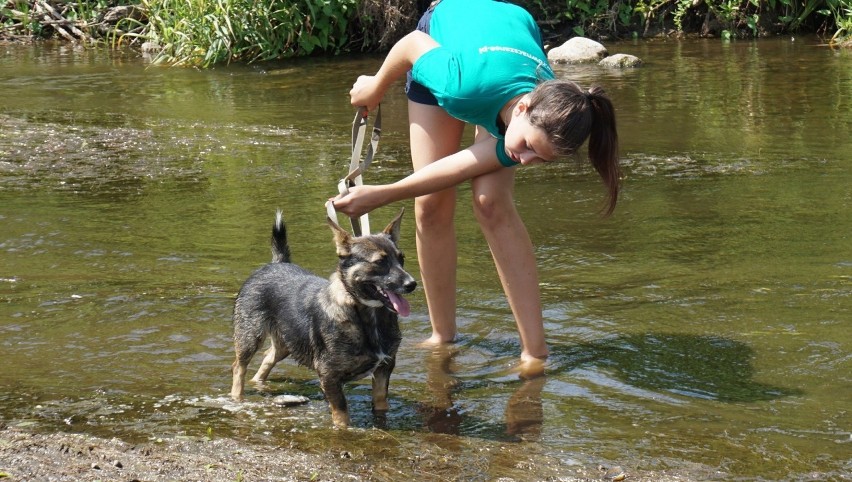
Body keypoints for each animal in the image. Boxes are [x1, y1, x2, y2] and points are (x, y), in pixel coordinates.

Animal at [230, 209, 416, 428]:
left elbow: (380, 404)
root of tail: (276, 263)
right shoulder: (329, 376)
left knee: (268, 357)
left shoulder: (385, 368)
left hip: (287, 342)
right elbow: (342, 416)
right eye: (379, 262)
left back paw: (258, 383)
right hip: (250, 335)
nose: (412, 284)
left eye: (401, 259)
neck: (366, 314)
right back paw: (237, 397)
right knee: (238, 367)